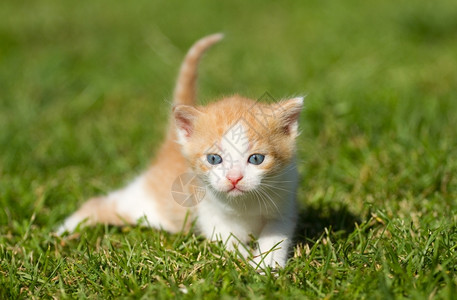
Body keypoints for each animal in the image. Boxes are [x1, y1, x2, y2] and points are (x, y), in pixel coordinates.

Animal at [59, 34, 302, 268]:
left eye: (257, 158)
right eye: (214, 159)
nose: (234, 178)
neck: (242, 205)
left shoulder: (285, 204)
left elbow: (276, 237)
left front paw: (266, 265)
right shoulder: (205, 209)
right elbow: (224, 235)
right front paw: (240, 260)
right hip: (146, 205)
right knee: (103, 204)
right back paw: (65, 228)